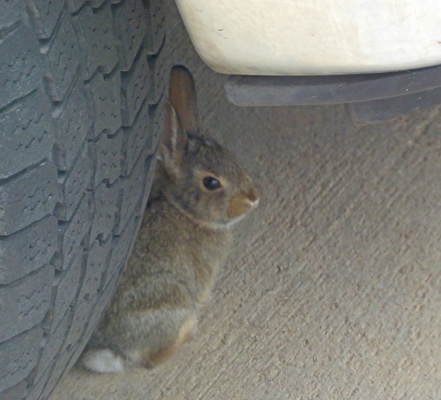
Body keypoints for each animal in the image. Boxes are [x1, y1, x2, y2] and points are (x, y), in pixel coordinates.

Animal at [81, 64, 258, 374]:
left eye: (229, 154)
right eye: (212, 183)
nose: (253, 198)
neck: (183, 210)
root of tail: (113, 351)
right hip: (171, 300)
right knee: (154, 359)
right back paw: (189, 329)